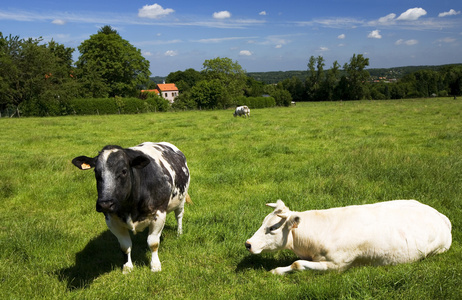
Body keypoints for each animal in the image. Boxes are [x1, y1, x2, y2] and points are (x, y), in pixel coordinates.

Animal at [71, 142, 189, 274]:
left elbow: (153, 242)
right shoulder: (111, 220)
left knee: (179, 216)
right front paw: (127, 267)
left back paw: (179, 233)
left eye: (124, 171)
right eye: (96, 172)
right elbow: (125, 246)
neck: (130, 208)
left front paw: (155, 265)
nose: (105, 204)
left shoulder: (159, 213)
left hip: (181, 199)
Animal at [245, 199, 452, 274]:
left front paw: (276, 271)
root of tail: (441, 216)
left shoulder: (337, 265)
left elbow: (296, 264)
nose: (248, 244)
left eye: (272, 227)